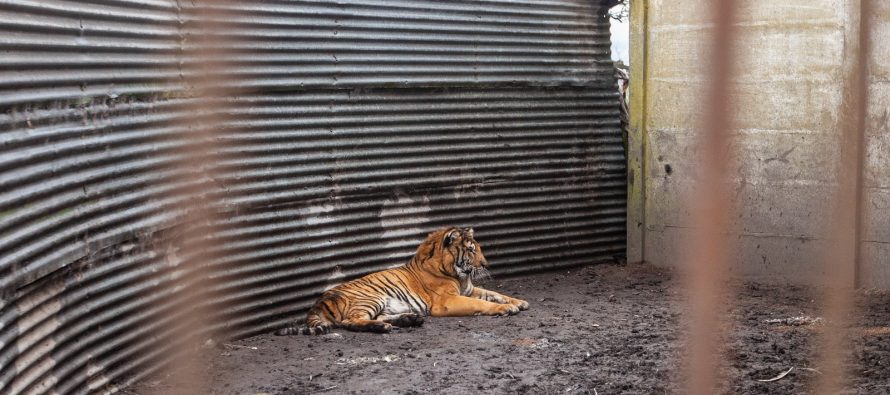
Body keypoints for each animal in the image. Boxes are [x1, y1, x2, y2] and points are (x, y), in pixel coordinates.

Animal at [274, 227, 532, 336]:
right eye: (471, 250)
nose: (486, 264)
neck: (458, 274)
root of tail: (318, 302)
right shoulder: (447, 301)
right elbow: (483, 303)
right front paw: (506, 309)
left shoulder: (469, 289)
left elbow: (494, 294)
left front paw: (518, 302)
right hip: (370, 298)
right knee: (350, 321)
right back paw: (384, 328)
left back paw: (409, 320)